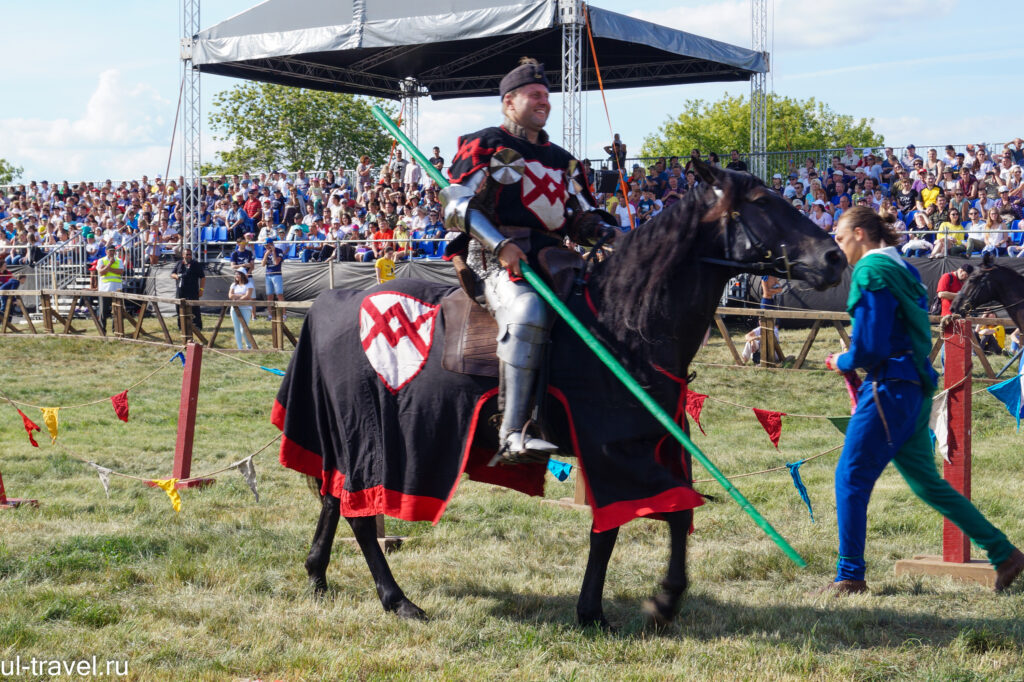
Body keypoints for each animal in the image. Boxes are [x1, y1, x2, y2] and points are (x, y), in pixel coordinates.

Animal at [274, 163, 847, 626]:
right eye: (762, 202)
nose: (836, 258)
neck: (624, 321)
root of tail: (331, 303)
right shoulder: (614, 449)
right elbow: (639, 519)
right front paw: (638, 604)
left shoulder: (655, 446)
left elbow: (666, 516)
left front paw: (638, 603)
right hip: (373, 436)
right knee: (359, 512)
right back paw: (397, 600)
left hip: (347, 436)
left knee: (334, 497)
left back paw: (317, 574)